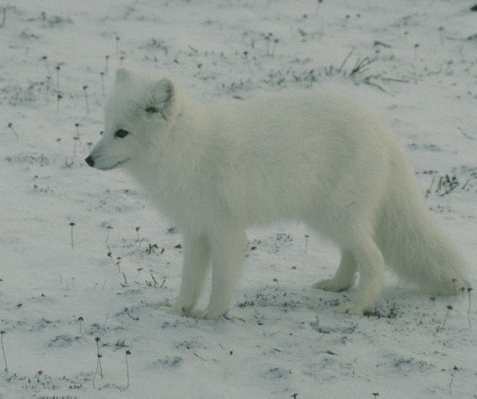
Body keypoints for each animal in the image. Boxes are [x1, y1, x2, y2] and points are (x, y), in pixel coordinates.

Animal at [84, 69, 468, 318]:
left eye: (122, 133)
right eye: (105, 129)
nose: (88, 160)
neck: (186, 148)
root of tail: (381, 129)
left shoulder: (225, 231)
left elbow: (221, 279)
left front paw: (212, 315)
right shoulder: (195, 230)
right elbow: (189, 280)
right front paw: (177, 311)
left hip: (340, 216)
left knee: (374, 259)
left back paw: (359, 306)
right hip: (329, 217)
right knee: (351, 254)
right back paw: (338, 285)